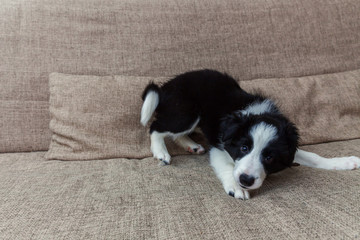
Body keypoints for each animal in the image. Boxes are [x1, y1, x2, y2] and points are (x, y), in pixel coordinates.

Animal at [141, 70, 360, 201]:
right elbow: (227, 167)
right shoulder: (220, 147)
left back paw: (192, 145)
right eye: (244, 148)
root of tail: (166, 87)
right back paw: (161, 152)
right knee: (156, 127)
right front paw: (235, 187)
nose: (246, 180)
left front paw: (345, 162)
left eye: (269, 157)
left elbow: (314, 157)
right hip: (187, 113)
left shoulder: (288, 148)